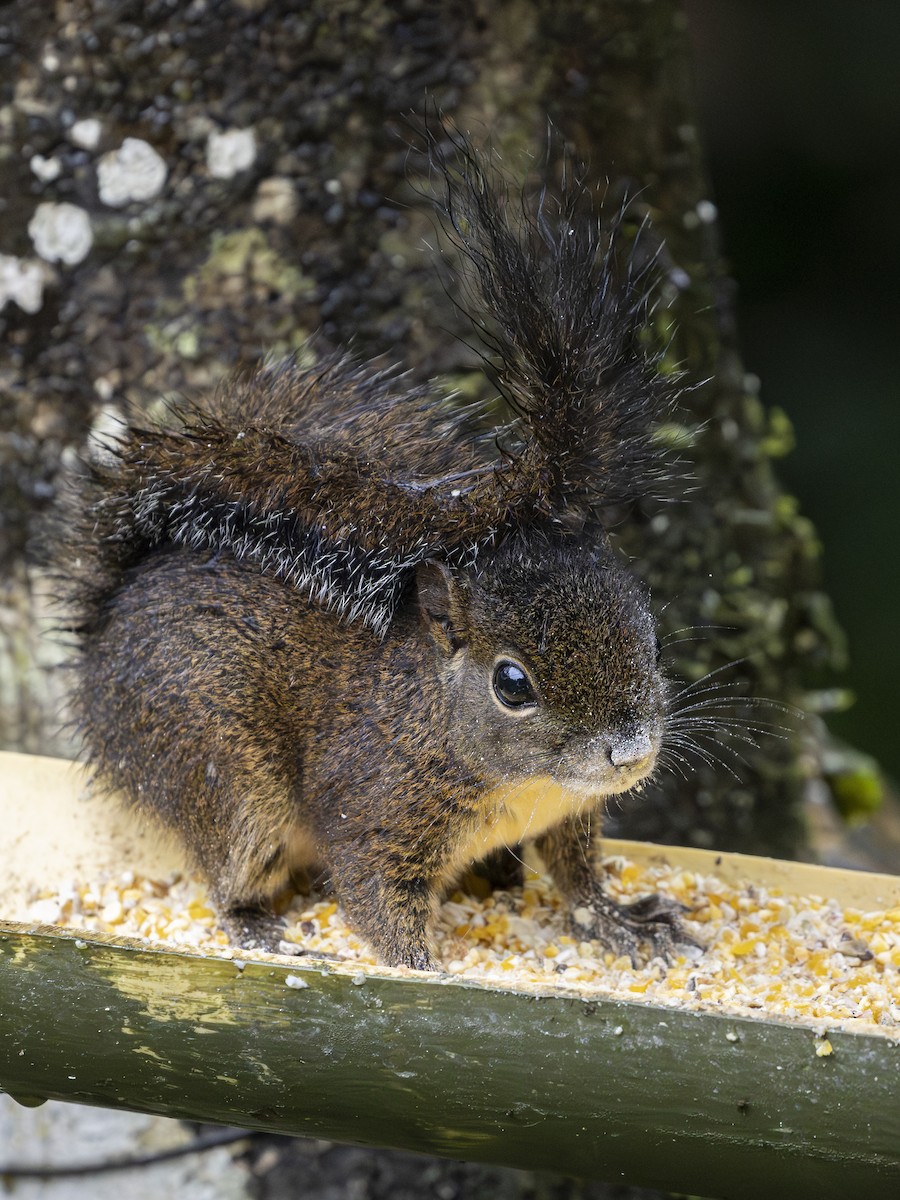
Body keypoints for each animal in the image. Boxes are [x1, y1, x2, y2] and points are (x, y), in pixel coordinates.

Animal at [61, 134, 692, 971]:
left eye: (648, 638)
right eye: (512, 684)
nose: (629, 754)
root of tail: (100, 644)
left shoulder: (569, 813)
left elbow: (580, 882)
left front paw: (625, 925)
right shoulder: (374, 809)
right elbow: (376, 900)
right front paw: (430, 971)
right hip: (222, 772)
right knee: (231, 866)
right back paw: (264, 930)